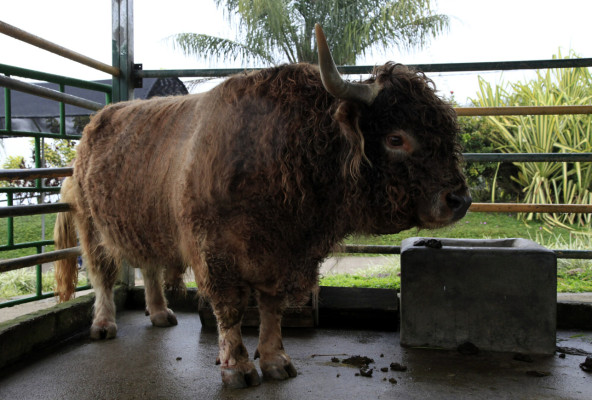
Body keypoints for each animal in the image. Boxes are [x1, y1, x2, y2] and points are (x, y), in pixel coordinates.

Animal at [55, 25, 472, 388]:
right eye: (396, 138)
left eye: (445, 132)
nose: (459, 200)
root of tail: (94, 126)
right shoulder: (215, 253)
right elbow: (230, 310)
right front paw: (237, 367)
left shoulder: (283, 255)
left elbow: (272, 307)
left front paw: (275, 360)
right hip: (91, 225)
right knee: (102, 273)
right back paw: (104, 324)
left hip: (146, 224)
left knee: (150, 266)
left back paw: (159, 312)